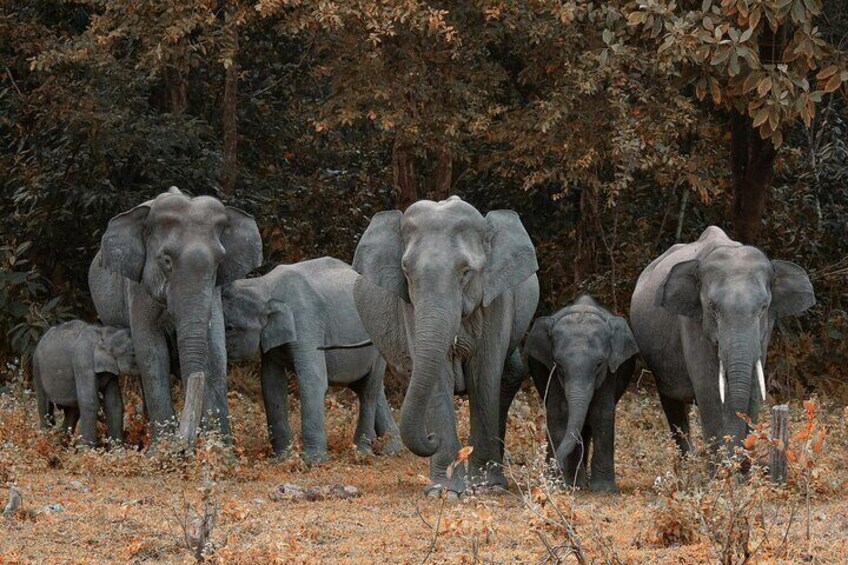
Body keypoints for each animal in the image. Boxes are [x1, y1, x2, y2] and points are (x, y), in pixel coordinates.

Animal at [88, 187, 262, 438]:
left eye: (219, 262)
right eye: (166, 260)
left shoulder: (214, 292)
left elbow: (216, 351)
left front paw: (220, 446)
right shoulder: (139, 289)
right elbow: (152, 352)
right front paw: (164, 447)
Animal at [222, 256, 400, 462]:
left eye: (230, 328)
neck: (265, 284)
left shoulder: (306, 319)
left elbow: (313, 379)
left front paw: (311, 461)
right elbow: (271, 382)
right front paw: (281, 459)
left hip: (378, 340)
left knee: (368, 389)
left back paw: (361, 452)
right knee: (369, 388)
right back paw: (392, 450)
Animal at [350, 195, 536, 494]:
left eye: (466, 271)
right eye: (405, 270)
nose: (431, 438)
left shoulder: (497, 299)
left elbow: (484, 376)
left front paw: (487, 488)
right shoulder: (410, 306)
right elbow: (437, 378)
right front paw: (445, 492)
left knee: (509, 377)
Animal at [524, 294, 636, 492]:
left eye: (599, 364)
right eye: (559, 365)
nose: (554, 468)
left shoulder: (609, 374)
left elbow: (602, 415)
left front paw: (603, 490)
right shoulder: (553, 377)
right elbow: (560, 414)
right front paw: (567, 484)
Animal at [628, 225, 816, 454]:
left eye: (763, 307)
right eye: (712, 307)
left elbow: (753, 390)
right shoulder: (692, 323)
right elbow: (710, 392)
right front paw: (720, 462)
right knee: (673, 405)